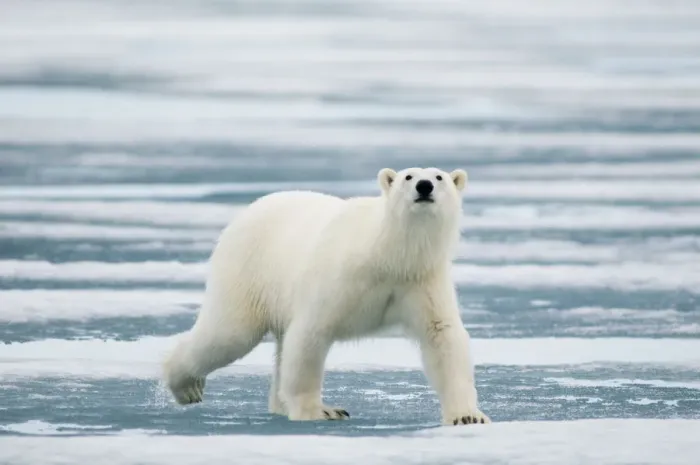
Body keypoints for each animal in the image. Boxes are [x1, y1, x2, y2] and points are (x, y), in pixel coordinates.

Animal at [162, 167, 490, 425]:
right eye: (408, 176)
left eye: (439, 176)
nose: (424, 186)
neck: (388, 254)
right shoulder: (342, 276)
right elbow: (311, 332)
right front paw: (321, 411)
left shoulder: (421, 280)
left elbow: (442, 337)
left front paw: (468, 416)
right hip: (248, 271)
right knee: (229, 333)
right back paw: (187, 386)